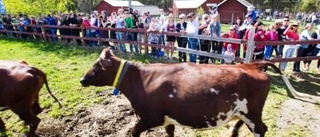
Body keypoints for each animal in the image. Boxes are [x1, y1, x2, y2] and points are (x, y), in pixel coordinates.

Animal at [80, 48, 304, 137]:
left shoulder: (150, 118)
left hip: (252, 113)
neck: (140, 80)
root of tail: (252, 65)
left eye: (97, 67)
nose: (82, 80)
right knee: (238, 128)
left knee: (261, 129)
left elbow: (133, 131)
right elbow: (170, 133)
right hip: (242, 112)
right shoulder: (168, 119)